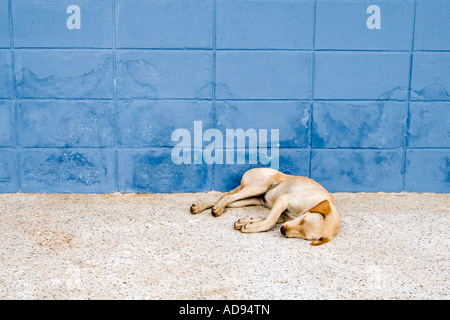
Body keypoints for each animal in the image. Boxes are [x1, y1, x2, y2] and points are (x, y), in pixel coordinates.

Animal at [190, 168, 342, 245]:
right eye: (303, 220)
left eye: (305, 236)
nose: (282, 231)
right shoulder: (282, 200)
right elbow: (270, 221)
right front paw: (250, 227)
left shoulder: (283, 215)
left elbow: (264, 218)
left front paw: (245, 223)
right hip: (258, 187)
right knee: (227, 197)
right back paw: (216, 208)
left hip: (253, 198)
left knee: (223, 197)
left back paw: (204, 207)